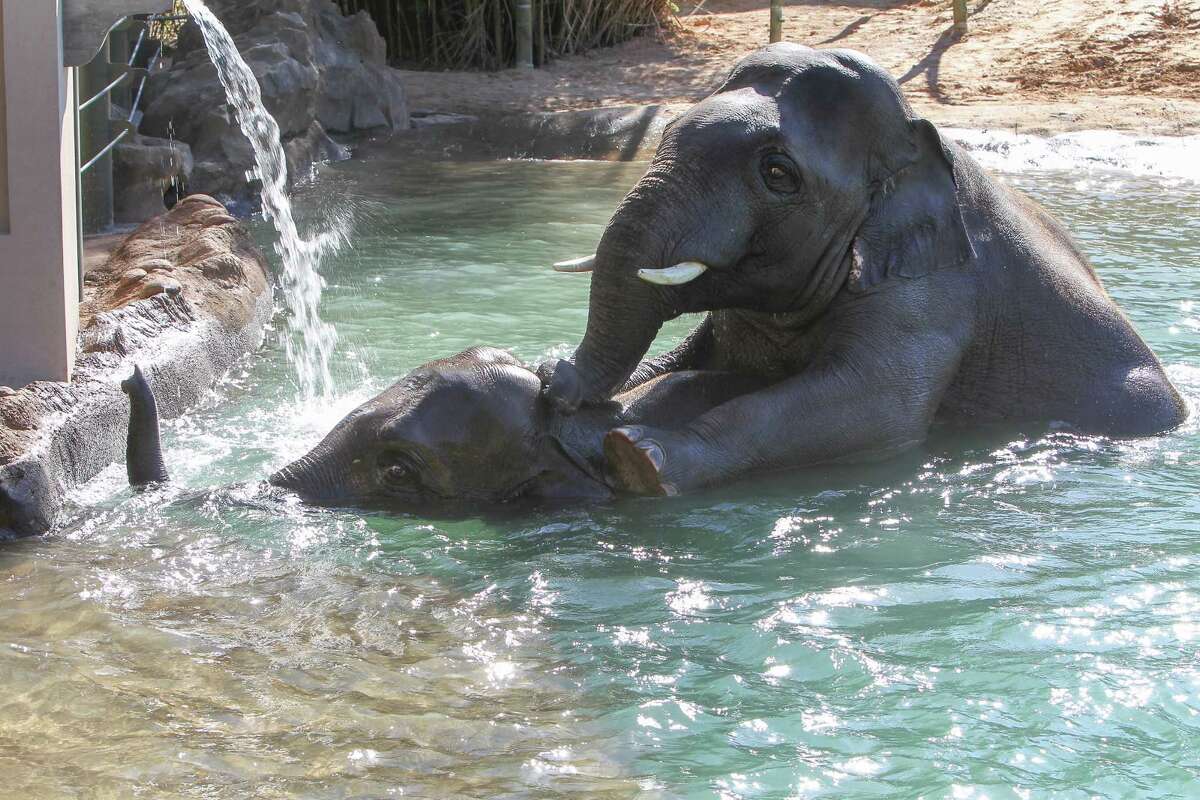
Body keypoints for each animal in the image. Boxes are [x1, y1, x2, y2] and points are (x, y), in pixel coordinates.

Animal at [542, 43, 1180, 496]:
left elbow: (872, 404)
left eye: (778, 173)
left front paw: (637, 460)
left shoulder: (933, 291)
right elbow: (697, 357)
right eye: (667, 133)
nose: (556, 386)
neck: (915, 137)